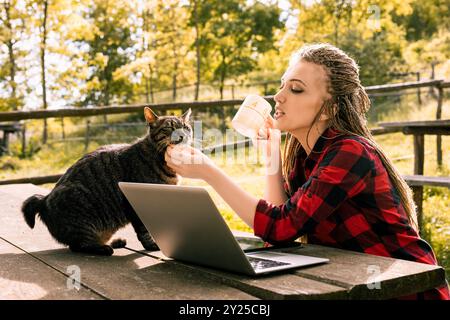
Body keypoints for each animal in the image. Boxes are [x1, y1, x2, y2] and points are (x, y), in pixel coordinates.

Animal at [22, 107, 191, 255]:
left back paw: (115, 242)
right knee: (77, 246)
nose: (183, 135)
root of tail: (45, 199)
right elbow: (144, 231)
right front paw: (152, 245)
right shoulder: (135, 205)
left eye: (185, 127)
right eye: (169, 128)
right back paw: (102, 248)